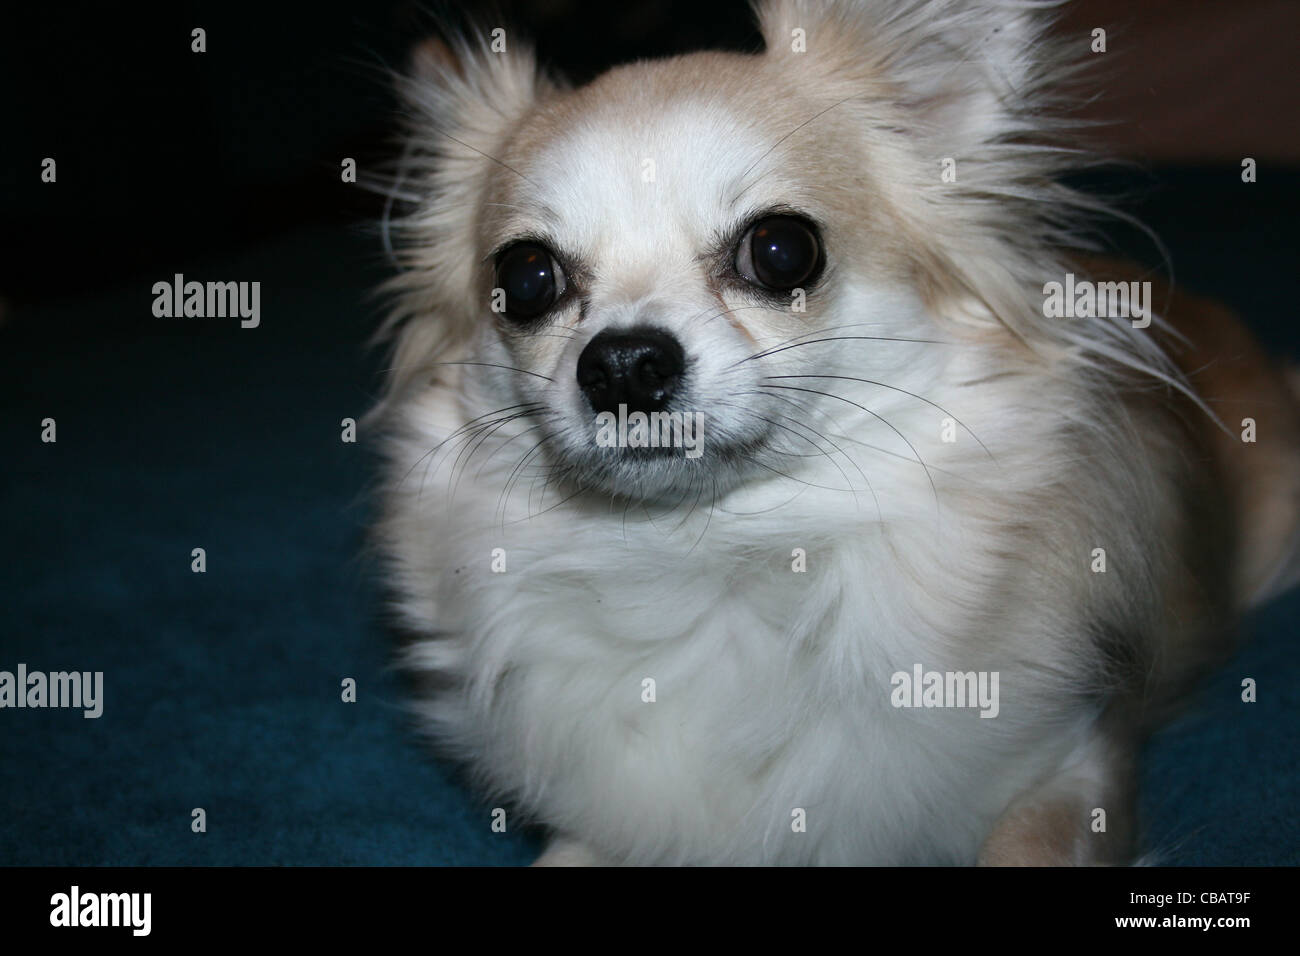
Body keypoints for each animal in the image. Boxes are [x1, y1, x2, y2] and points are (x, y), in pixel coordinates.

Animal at [369, 0, 1300, 868]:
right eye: (526, 278)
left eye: (782, 250)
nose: (624, 363)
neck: (711, 559)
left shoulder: (1073, 765)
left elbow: (1024, 841)